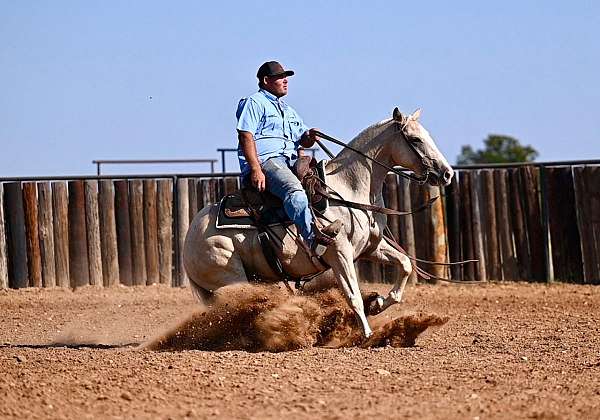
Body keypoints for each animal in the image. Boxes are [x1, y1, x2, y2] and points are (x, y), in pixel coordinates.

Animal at [183, 107, 450, 338]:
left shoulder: (370, 247)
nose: (447, 173)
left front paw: (378, 303)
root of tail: (188, 240)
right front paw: (367, 334)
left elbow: (405, 264)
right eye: (415, 139)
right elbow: (352, 294)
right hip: (230, 277)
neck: (349, 189)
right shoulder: (339, 252)